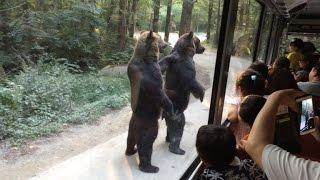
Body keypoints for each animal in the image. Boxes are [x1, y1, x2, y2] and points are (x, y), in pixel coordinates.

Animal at [125, 31, 174, 173]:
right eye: (160, 38)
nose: (167, 44)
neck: (147, 58)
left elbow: (162, 65)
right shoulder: (151, 73)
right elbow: (159, 93)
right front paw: (171, 109)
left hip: (132, 123)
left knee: (130, 138)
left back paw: (131, 151)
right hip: (149, 123)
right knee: (146, 143)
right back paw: (150, 167)